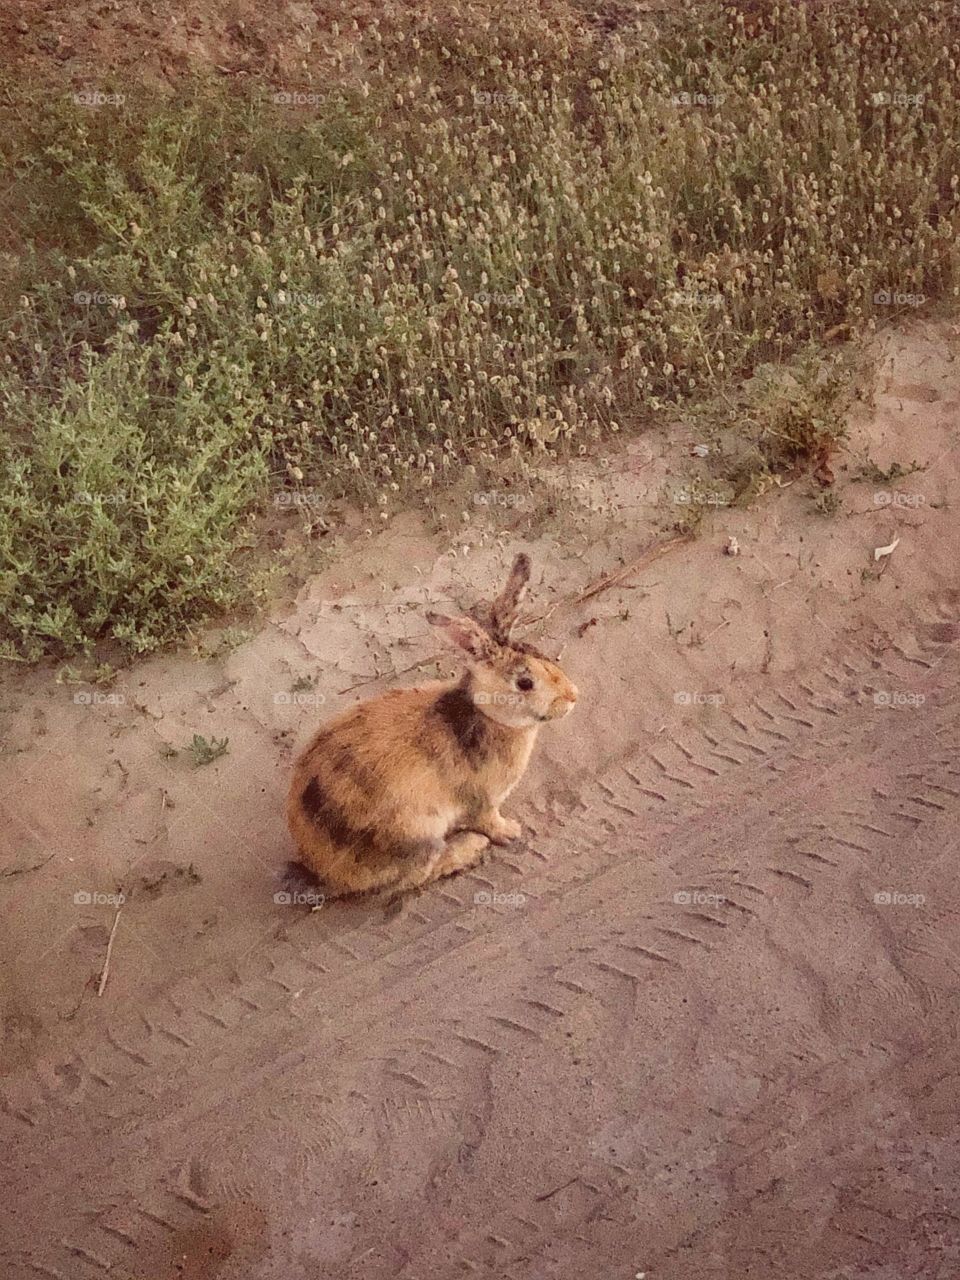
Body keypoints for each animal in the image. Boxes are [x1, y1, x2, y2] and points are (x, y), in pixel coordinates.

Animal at [286, 553, 578, 898]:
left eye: (537, 651)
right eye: (525, 682)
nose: (573, 696)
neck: (487, 715)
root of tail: (321, 869)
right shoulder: (482, 802)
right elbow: (490, 822)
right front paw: (511, 832)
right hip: (417, 836)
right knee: (414, 878)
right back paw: (471, 847)